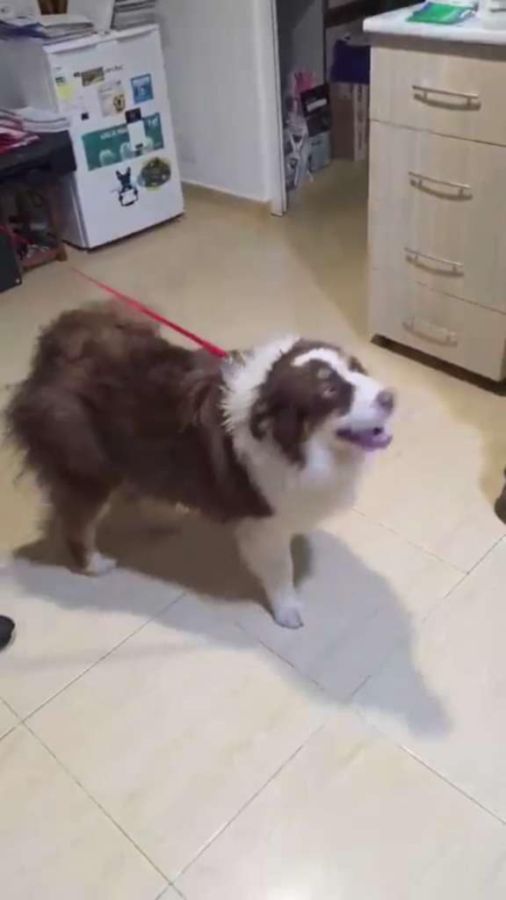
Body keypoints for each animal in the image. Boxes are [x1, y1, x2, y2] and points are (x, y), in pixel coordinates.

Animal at [6, 304, 395, 628]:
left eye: (356, 369)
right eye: (329, 393)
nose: (390, 397)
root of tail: (51, 353)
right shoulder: (262, 523)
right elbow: (280, 569)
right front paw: (287, 610)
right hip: (89, 470)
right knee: (76, 523)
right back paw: (94, 564)